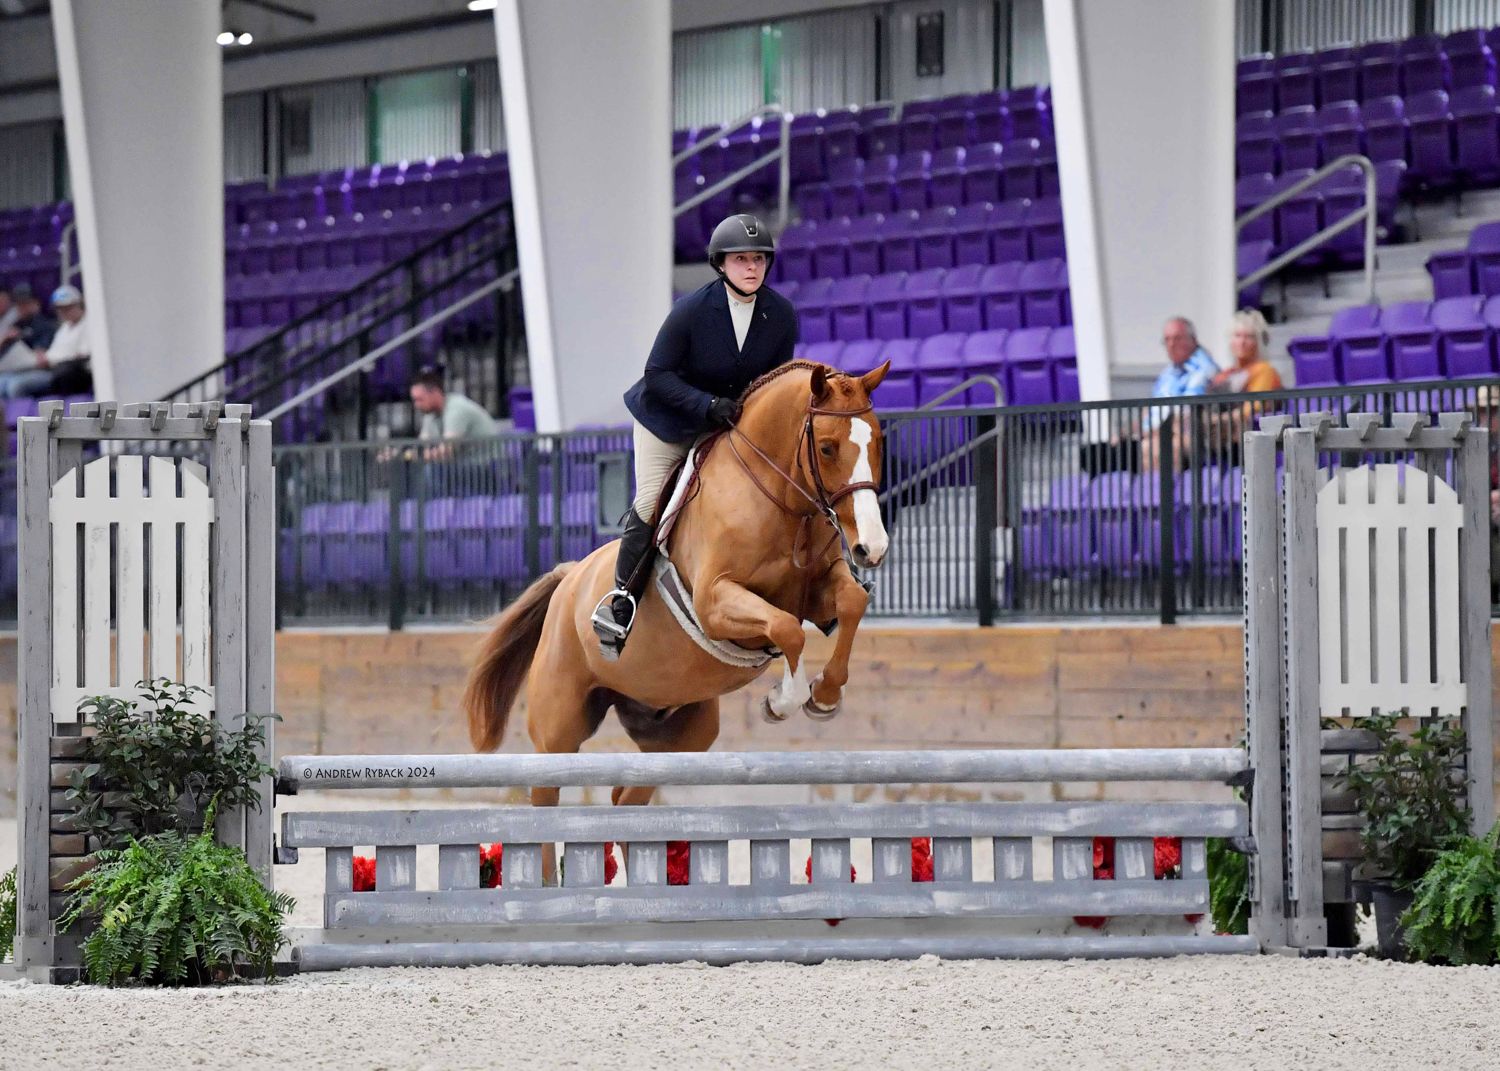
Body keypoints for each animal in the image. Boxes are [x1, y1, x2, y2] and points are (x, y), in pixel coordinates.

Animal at [462, 357, 888, 810]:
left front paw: (824, 697)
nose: (872, 549)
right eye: (826, 448)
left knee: (627, 793)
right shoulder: (714, 603)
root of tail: (568, 578)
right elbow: (787, 629)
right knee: (547, 789)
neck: (782, 504)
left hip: (679, 732)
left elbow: (851, 603)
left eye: (878, 442)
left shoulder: (819, 587)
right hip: (558, 728)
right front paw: (781, 702)